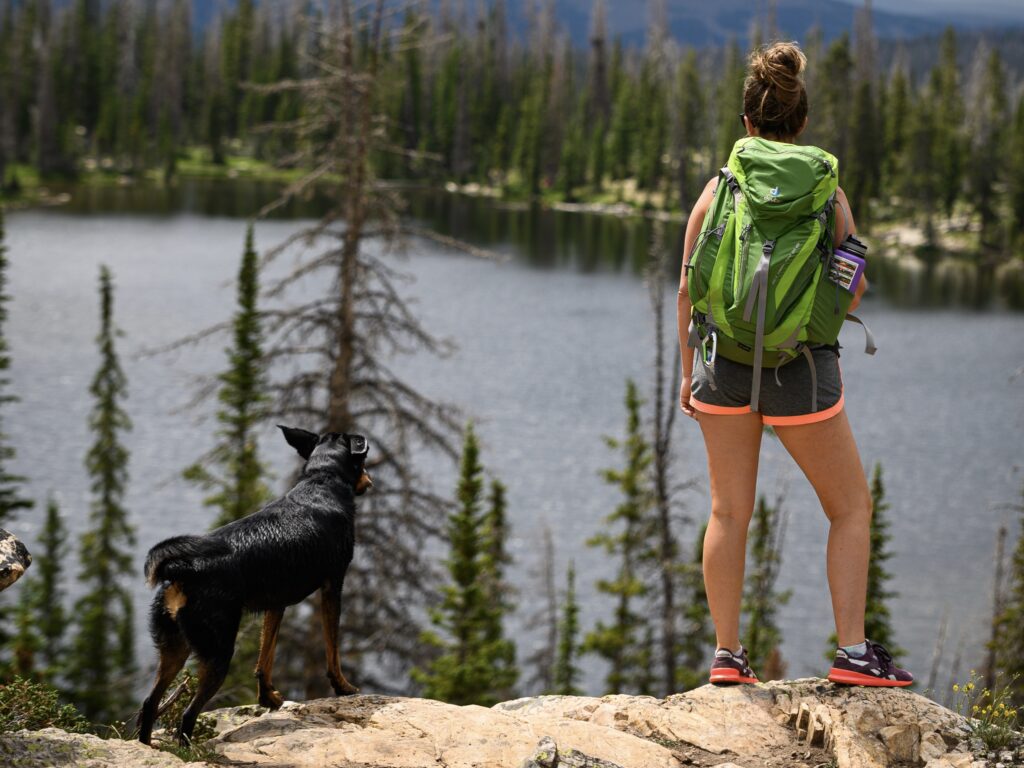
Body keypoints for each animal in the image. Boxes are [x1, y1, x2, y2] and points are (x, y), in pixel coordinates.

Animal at [137, 428, 372, 745]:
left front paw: (268, 698)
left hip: (174, 646)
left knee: (150, 703)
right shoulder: (333, 584)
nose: (370, 480)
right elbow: (332, 647)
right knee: (187, 714)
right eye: (364, 461)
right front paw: (343, 687)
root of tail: (181, 571)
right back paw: (187, 749)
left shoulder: (277, 602)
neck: (323, 479)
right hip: (218, 650)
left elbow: (265, 656)